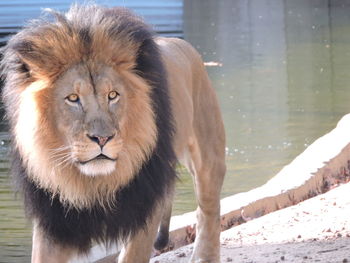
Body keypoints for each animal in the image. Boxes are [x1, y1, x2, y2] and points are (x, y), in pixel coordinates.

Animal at [0, 4, 227, 263]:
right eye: (73, 98)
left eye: (113, 95)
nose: (102, 139)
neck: (93, 183)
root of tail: (180, 43)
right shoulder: (55, 219)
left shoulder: (144, 205)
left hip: (208, 155)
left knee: (208, 209)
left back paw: (204, 256)